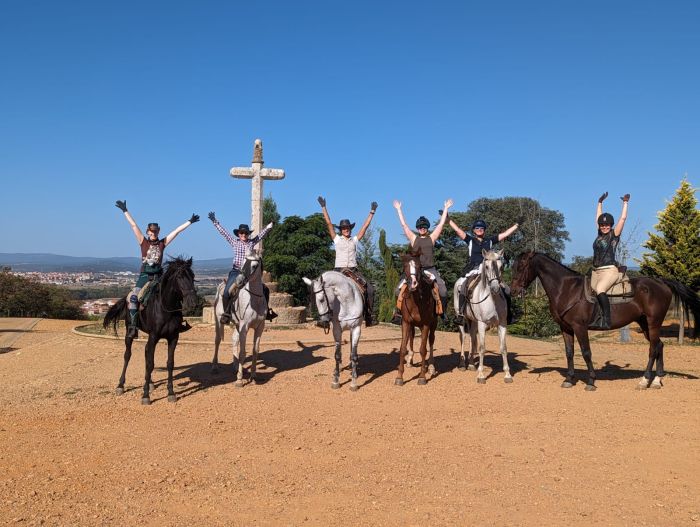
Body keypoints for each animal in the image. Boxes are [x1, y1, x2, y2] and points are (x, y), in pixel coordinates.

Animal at [103, 256, 197, 404]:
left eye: (192, 276)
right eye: (180, 276)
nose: (193, 302)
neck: (166, 308)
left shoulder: (173, 338)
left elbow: (169, 363)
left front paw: (171, 393)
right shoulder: (153, 337)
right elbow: (150, 364)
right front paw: (146, 395)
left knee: (146, 355)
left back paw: (151, 383)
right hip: (129, 333)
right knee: (127, 355)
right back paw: (120, 385)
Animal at [212, 254, 266, 386]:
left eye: (254, 266)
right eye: (242, 264)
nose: (239, 281)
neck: (254, 301)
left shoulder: (259, 327)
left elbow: (255, 350)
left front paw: (253, 376)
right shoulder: (244, 327)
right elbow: (242, 352)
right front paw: (239, 379)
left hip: (236, 324)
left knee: (234, 340)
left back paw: (235, 367)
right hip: (218, 321)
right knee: (217, 340)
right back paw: (214, 366)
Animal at [394, 250, 438, 386]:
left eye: (420, 266)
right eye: (405, 267)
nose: (413, 283)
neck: (416, 300)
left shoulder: (426, 324)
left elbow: (423, 349)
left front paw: (422, 377)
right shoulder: (406, 322)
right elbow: (403, 348)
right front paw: (399, 377)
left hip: (433, 324)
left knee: (431, 341)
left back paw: (431, 367)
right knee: (412, 337)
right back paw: (410, 361)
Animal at [456, 250, 512, 386]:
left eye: (501, 266)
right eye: (486, 266)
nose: (495, 288)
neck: (492, 299)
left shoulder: (502, 324)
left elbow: (503, 348)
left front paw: (507, 374)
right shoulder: (482, 323)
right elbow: (482, 348)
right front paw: (481, 375)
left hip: (473, 321)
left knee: (472, 338)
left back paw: (471, 364)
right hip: (462, 320)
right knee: (463, 338)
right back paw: (462, 364)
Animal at [508, 252, 700, 392]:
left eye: (522, 266)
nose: (513, 291)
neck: (567, 289)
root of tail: (661, 282)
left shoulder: (580, 327)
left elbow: (586, 352)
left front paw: (591, 381)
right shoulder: (565, 328)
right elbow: (569, 353)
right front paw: (569, 379)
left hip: (653, 323)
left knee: (653, 349)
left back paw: (644, 381)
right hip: (645, 323)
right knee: (659, 345)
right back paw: (656, 381)